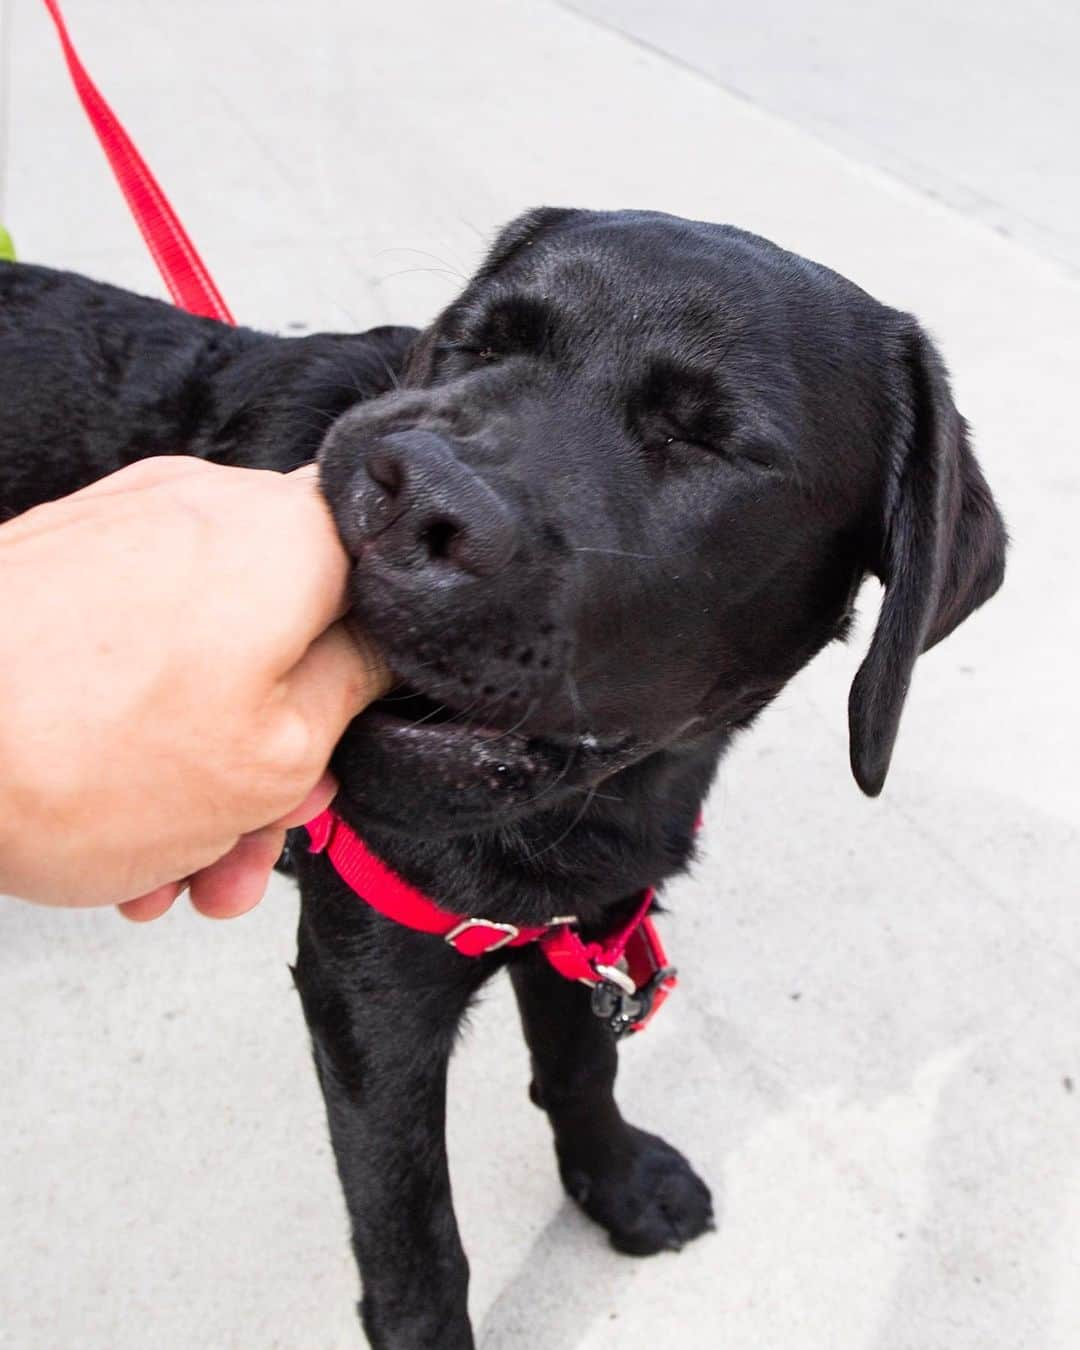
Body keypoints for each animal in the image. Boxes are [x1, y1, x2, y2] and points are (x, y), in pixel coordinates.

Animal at [0, 205, 1004, 1344]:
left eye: (707, 439)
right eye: (477, 344)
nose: (404, 499)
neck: (595, 809)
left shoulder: (583, 920)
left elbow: (581, 1064)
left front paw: (615, 1183)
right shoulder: (366, 1001)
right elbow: (418, 1254)